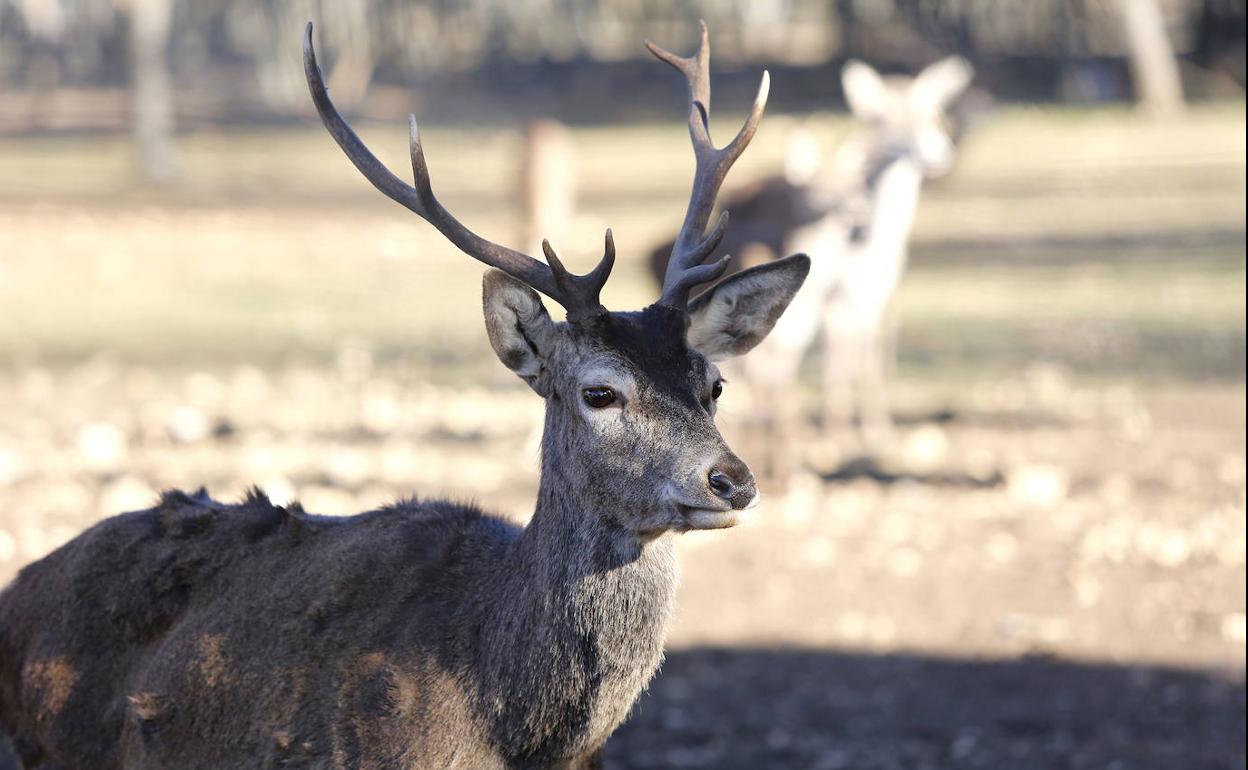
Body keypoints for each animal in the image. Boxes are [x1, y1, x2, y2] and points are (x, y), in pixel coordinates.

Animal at [648, 57, 978, 484]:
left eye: (931, 111)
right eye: (881, 117)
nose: (937, 153)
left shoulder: (876, 297)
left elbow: (870, 358)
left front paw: (872, 438)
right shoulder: (839, 301)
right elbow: (839, 363)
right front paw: (835, 443)